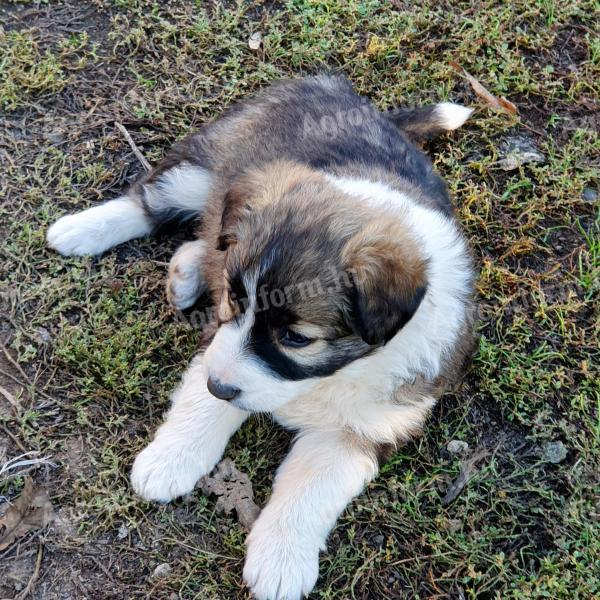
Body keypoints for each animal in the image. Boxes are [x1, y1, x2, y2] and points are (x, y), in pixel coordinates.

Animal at [47, 75, 478, 600]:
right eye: (235, 302)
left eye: (295, 337)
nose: (219, 386)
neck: (333, 376)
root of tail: (346, 92)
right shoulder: (219, 342)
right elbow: (202, 407)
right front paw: (168, 461)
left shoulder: (362, 427)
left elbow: (310, 490)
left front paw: (281, 562)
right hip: (205, 163)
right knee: (152, 201)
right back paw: (80, 230)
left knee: (206, 233)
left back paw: (186, 271)